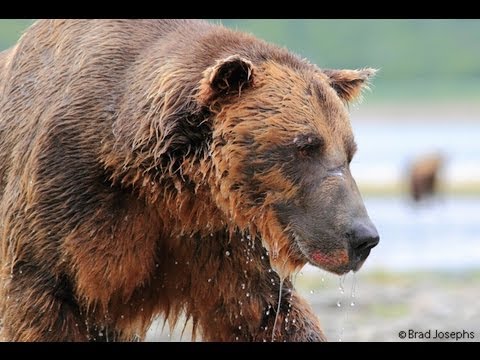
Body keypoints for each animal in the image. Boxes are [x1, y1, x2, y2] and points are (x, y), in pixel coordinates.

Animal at [0, 19, 380, 340]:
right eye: (306, 146)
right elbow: (47, 296)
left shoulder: (217, 237)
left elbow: (266, 309)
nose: (363, 236)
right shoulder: (70, 197)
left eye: (349, 152)